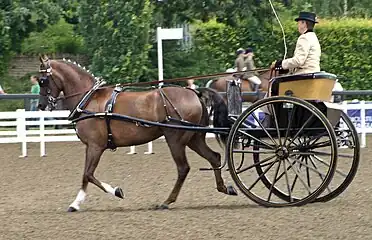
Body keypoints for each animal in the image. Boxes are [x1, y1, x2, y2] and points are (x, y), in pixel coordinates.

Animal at [37, 54, 238, 212]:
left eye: (43, 80)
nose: (40, 105)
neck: (89, 99)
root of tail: (194, 92)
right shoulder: (92, 146)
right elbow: (86, 175)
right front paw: (77, 203)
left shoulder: (95, 146)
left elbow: (88, 174)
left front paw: (115, 191)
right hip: (194, 138)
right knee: (214, 157)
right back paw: (224, 188)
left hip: (175, 139)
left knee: (183, 168)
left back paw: (167, 201)